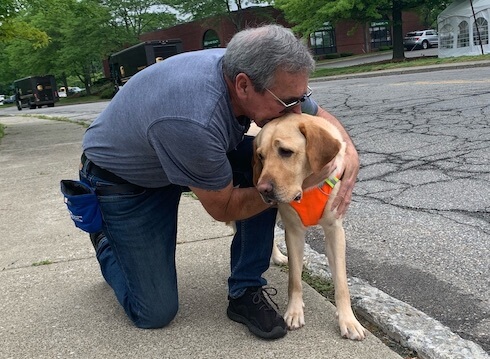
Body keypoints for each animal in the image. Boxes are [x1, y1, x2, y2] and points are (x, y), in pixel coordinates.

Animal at [255, 114, 366, 342]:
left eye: (285, 151)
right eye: (261, 156)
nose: (262, 189)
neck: (307, 186)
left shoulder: (335, 231)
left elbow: (342, 284)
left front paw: (348, 321)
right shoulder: (293, 231)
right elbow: (295, 280)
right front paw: (294, 312)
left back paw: (277, 256)